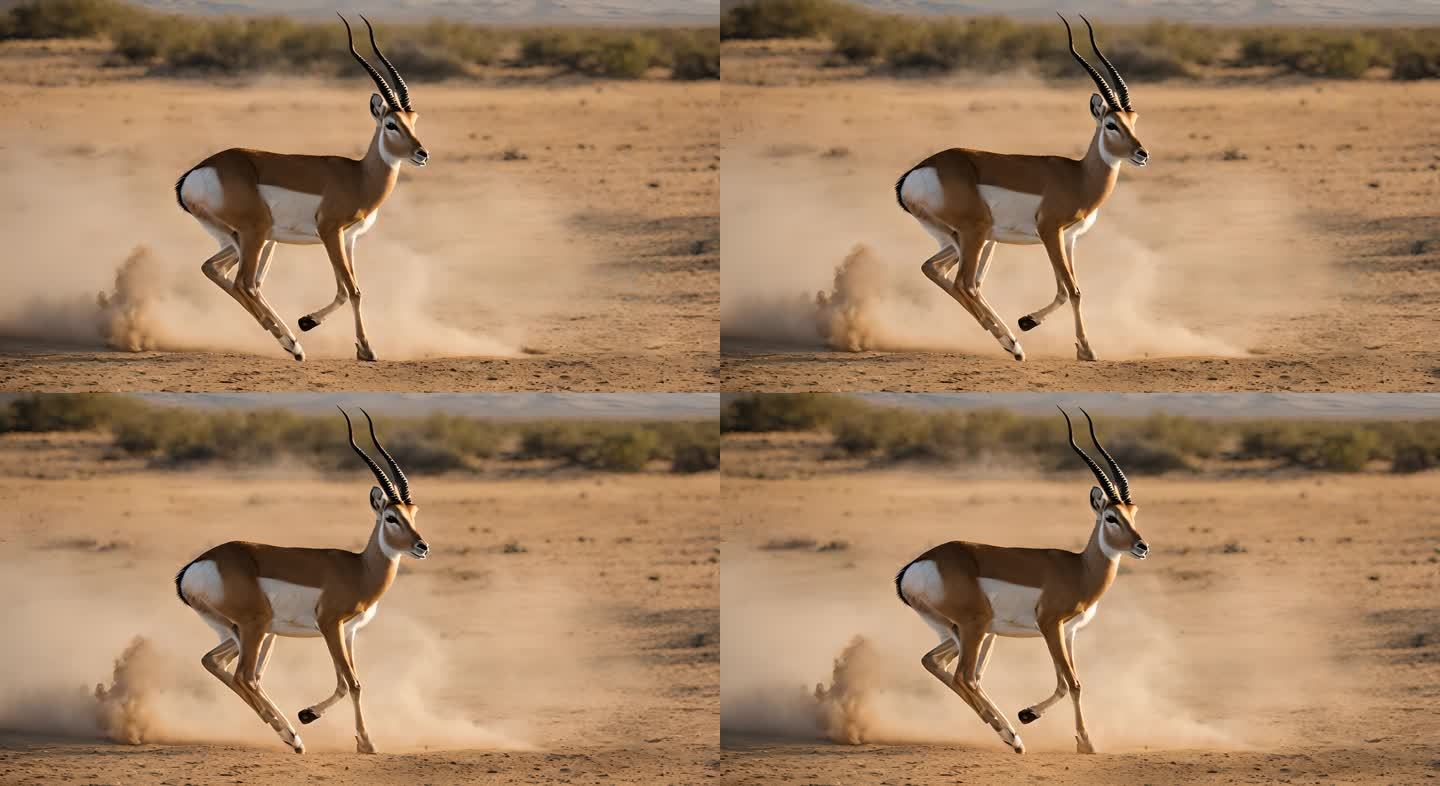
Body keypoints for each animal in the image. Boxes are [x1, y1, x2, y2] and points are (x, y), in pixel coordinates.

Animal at [173, 16, 426, 361]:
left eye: (413, 120)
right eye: (391, 124)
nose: (421, 154)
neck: (358, 176)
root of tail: (195, 174)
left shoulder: (349, 239)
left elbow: (346, 289)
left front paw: (309, 322)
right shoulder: (330, 232)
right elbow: (352, 290)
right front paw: (367, 349)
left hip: (248, 238)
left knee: (219, 271)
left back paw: (289, 340)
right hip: (255, 233)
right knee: (245, 282)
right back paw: (293, 345)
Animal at [173, 405, 426, 748]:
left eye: (413, 514)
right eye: (391, 517)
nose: (422, 546)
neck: (359, 569)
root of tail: (196, 566)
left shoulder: (349, 632)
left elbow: (347, 683)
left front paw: (308, 714)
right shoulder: (330, 625)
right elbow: (353, 683)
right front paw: (366, 744)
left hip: (248, 630)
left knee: (219, 664)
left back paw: (288, 732)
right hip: (255, 627)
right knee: (245, 675)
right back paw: (292, 738)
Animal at [898, 14, 1146, 361]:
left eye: (1133, 121)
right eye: (1111, 124)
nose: (1141, 154)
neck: (1078, 176)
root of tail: (916, 173)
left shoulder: (1069, 239)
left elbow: (1066, 289)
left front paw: (1029, 321)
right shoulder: (1050, 232)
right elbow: (1072, 290)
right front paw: (1087, 350)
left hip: (968, 238)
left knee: (937, 270)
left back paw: (1009, 340)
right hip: (976, 233)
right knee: (966, 282)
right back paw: (1013, 345)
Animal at [898, 405, 1146, 748]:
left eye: (1133, 514)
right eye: (1111, 517)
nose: (1142, 546)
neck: (1079, 569)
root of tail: (917, 565)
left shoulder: (1068, 632)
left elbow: (1066, 683)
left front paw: (1029, 714)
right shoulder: (1050, 625)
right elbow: (1072, 683)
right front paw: (1085, 743)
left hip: (966, 631)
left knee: (941, 665)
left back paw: (1007, 732)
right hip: (975, 627)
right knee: (965, 676)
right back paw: (1013, 738)